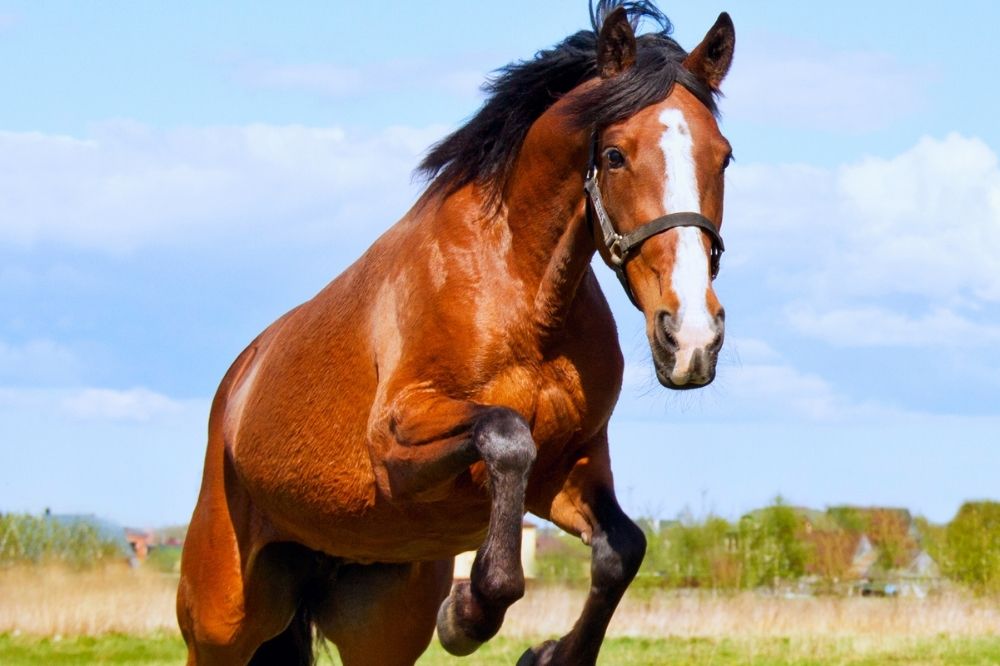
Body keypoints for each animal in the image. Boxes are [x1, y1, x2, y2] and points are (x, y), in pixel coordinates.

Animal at [177, 1, 735, 664]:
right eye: (616, 155)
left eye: (724, 156)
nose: (692, 338)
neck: (520, 298)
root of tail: (236, 385)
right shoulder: (396, 444)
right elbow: (505, 436)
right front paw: (467, 615)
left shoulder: (567, 468)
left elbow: (622, 549)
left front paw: (549, 653)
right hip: (222, 623)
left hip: (381, 629)